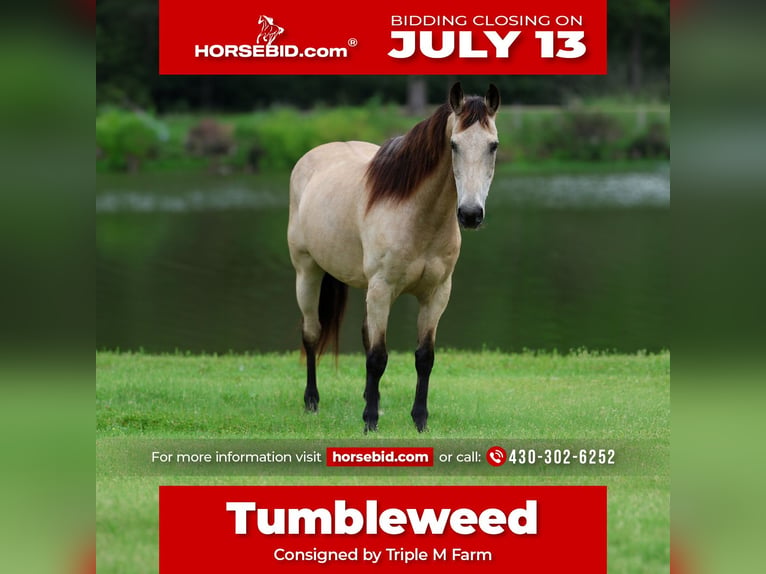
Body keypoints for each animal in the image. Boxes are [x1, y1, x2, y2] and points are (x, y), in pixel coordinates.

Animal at [287, 82, 500, 432]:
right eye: (453, 145)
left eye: (493, 146)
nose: (470, 214)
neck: (416, 215)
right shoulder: (382, 288)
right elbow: (378, 357)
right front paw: (370, 422)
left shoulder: (436, 294)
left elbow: (424, 357)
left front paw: (420, 420)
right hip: (308, 273)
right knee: (312, 333)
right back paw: (312, 402)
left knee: (363, 334)